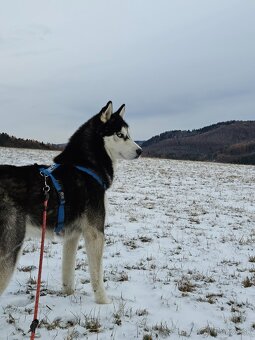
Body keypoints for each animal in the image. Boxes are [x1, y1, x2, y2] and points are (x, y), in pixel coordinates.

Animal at [0, 102, 141, 304]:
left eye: (128, 134)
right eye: (120, 135)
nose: (140, 151)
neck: (85, 165)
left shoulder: (72, 235)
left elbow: (67, 271)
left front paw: (68, 296)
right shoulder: (95, 232)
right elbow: (97, 275)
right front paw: (104, 303)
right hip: (10, 247)